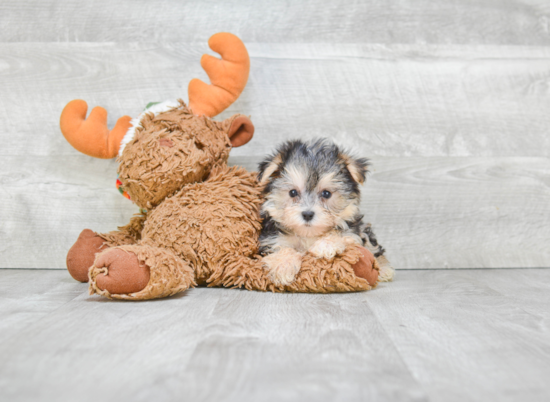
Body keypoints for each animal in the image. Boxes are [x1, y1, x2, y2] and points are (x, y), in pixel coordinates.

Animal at [258, 138, 392, 286]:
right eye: (292, 192)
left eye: (326, 193)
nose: (307, 214)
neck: (308, 235)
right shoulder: (272, 238)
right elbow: (281, 246)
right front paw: (283, 264)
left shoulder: (353, 231)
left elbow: (341, 233)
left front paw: (326, 245)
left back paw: (384, 269)